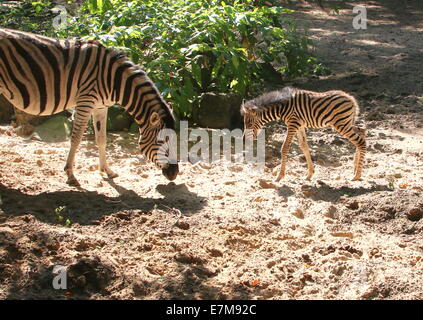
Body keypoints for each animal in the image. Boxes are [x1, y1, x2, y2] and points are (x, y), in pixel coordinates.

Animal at [0, 29, 179, 186]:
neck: (114, 80)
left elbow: (102, 139)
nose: (174, 173)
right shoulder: (85, 102)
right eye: (162, 140)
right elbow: (76, 138)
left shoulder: (100, 107)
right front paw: (70, 175)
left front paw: (107, 171)